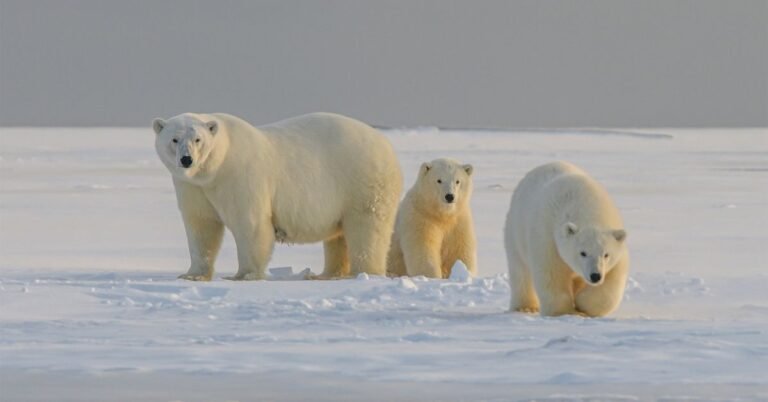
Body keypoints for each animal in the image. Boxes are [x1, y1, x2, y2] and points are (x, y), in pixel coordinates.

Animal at [153, 112, 403, 281]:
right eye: (174, 139)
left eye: (198, 140)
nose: (187, 160)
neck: (215, 169)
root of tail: (386, 144)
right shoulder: (193, 187)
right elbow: (201, 226)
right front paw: (192, 275)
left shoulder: (240, 176)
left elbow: (250, 224)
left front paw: (244, 275)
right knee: (338, 236)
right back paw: (326, 274)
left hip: (362, 181)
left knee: (367, 228)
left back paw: (364, 272)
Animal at [503, 161, 628, 317]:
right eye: (583, 253)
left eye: (606, 254)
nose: (595, 276)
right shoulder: (548, 238)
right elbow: (552, 275)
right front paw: (565, 311)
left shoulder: (617, 250)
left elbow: (612, 281)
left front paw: (582, 304)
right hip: (515, 231)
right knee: (520, 271)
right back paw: (525, 307)